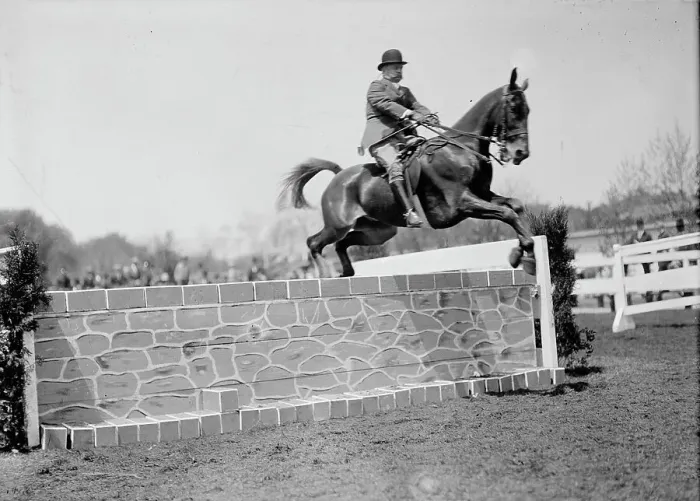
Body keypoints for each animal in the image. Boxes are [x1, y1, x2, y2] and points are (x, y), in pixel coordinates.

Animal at [277, 67, 534, 278]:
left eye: (528, 110)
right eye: (514, 109)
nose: (521, 153)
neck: (461, 149)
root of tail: (338, 176)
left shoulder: (482, 194)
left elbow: (515, 206)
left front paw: (522, 252)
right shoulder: (461, 203)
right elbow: (507, 213)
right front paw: (526, 256)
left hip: (379, 231)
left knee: (342, 244)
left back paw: (347, 272)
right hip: (338, 225)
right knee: (314, 243)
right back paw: (325, 275)